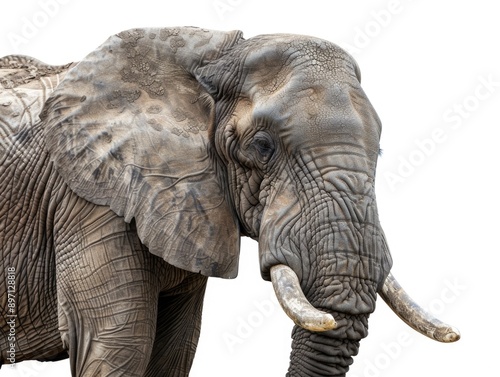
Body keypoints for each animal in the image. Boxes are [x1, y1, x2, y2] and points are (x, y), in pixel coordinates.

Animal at [0, 27, 460, 374]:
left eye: (379, 151)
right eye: (262, 146)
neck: (215, 56)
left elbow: (174, 351)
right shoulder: (90, 199)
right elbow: (119, 346)